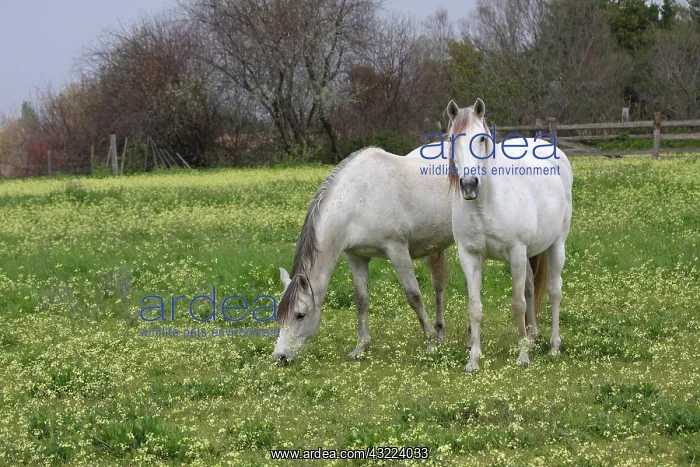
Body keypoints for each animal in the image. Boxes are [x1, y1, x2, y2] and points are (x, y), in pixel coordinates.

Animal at [272, 147, 454, 363]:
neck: (358, 199)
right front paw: (361, 347)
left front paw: (431, 343)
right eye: (279, 315)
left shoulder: (397, 250)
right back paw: (441, 333)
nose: (280, 357)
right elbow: (361, 300)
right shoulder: (356, 257)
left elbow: (414, 296)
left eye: (300, 314)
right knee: (438, 287)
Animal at [446, 98, 573, 372]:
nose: (469, 185)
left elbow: (517, 304)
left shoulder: (516, 252)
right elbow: (474, 307)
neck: (485, 204)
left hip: (557, 245)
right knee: (531, 288)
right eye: (452, 138)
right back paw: (533, 337)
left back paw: (554, 346)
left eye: (481, 139)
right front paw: (473, 359)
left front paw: (523, 356)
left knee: (554, 291)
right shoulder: (469, 256)